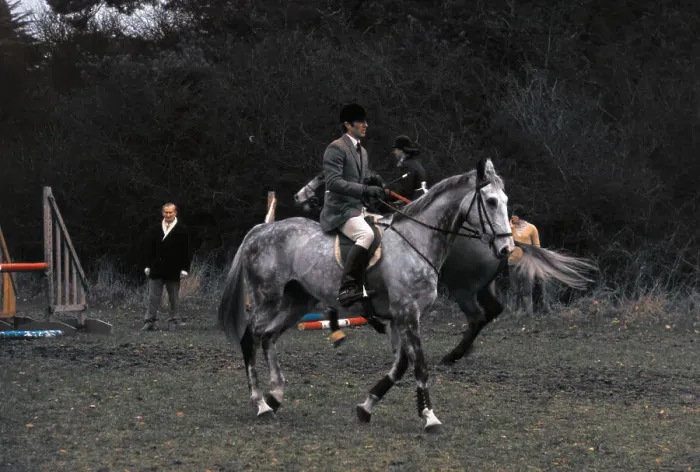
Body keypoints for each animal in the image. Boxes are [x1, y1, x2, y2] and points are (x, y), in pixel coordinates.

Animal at [219, 159, 514, 433]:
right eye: (490, 202)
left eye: (504, 201)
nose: (507, 248)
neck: (417, 240)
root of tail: (261, 229)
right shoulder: (407, 313)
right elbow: (419, 365)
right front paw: (430, 417)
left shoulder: (401, 317)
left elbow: (401, 365)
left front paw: (367, 406)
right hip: (267, 297)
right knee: (250, 338)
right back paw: (260, 403)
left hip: (298, 303)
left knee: (268, 337)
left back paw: (276, 396)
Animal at [294, 170, 597, 365]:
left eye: (320, 180)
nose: (298, 197)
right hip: (480, 285)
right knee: (491, 311)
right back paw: (464, 350)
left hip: (462, 287)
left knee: (477, 316)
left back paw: (454, 355)